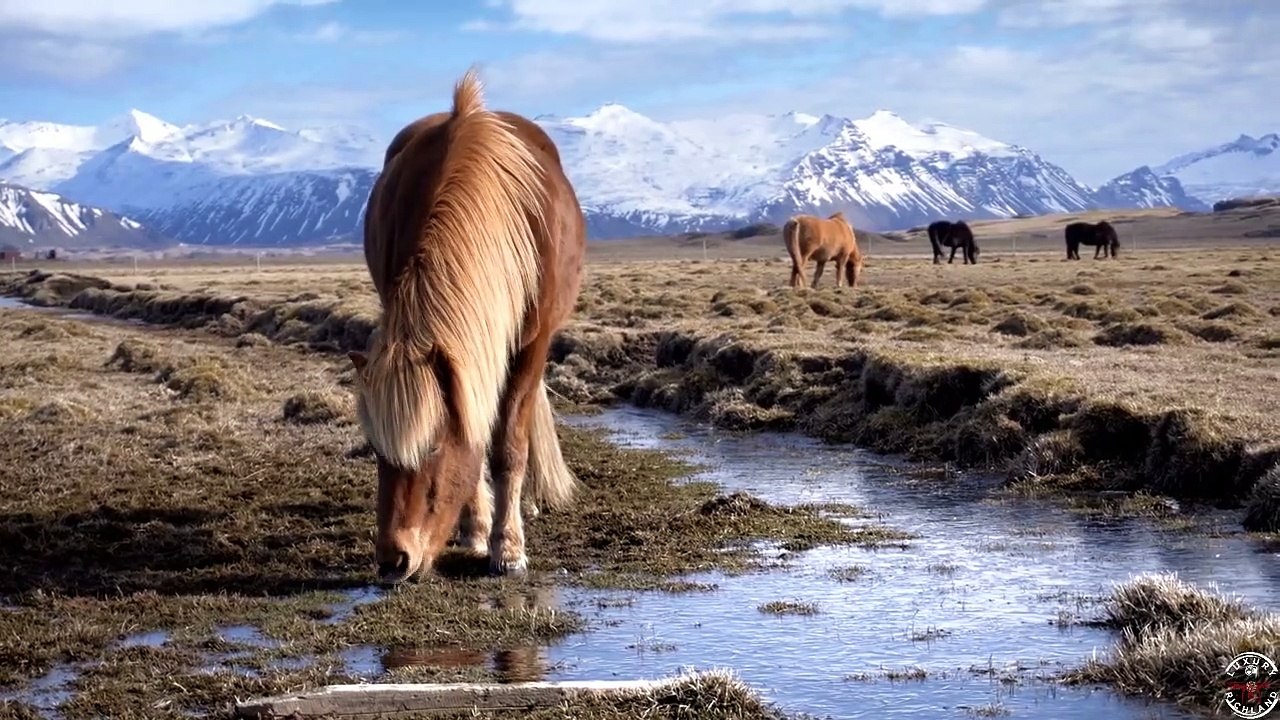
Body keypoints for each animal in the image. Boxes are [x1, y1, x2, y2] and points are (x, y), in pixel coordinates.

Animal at [348, 68, 585, 585]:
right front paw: (478, 530)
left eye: (434, 447)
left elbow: (509, 446)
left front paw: (508, 548)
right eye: (375, 449)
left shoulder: (530, 345)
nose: (394, 561)